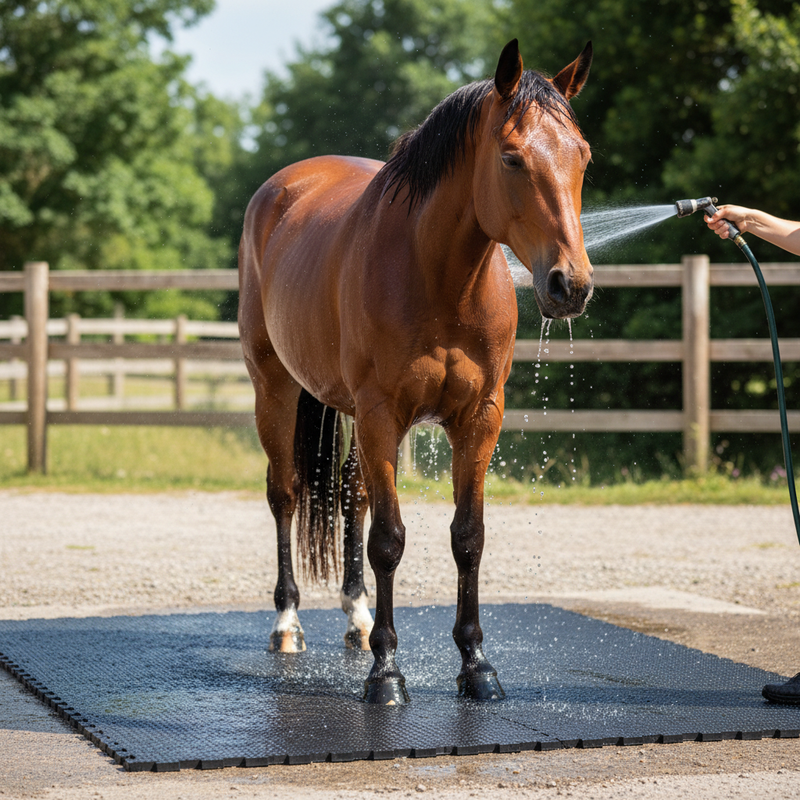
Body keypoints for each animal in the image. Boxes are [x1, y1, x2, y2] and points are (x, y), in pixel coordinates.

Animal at [238, 39, 594, 704]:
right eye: (511, 157)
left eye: (582, 155)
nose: (571, 284)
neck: (439, 277)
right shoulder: (383, 413)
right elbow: (389, 540)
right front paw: (386, 674)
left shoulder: (479, 417)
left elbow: (467, 536)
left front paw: (476, 666)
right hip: (274, 388)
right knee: (286, 494)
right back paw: (288, 624)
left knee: (351, 494)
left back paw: (357, 616)